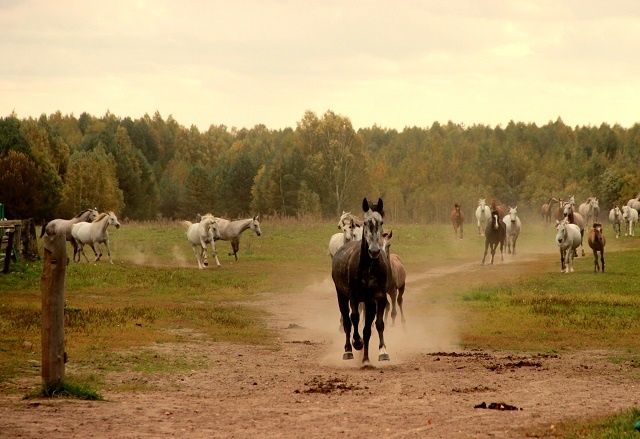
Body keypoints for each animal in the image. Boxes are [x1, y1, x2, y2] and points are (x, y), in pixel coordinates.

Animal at [332, 197, 392, 365]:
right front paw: (356, 343)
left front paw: (383, 352)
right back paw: (348, 350)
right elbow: (354, 318)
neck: (368, 269)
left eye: (381, 221)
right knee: (347, 320)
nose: (374, 251)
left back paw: (365, 359)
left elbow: (377, 324)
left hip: (369, 302)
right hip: (341, 296)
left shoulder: (378, 298)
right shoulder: (354, 297)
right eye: (365, 222)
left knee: (366, 328)